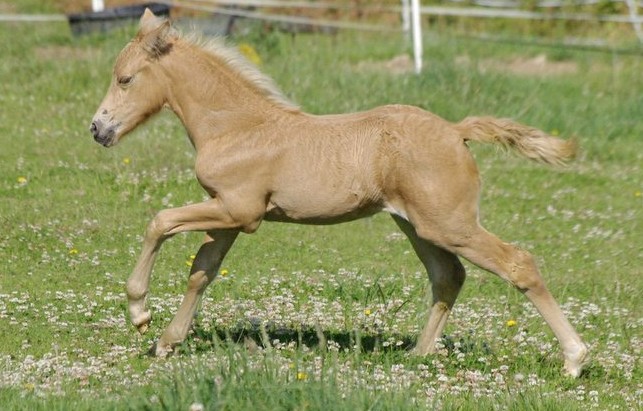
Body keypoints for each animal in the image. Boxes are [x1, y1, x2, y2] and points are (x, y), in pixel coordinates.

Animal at [89, 9, 588, 376]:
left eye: (126, 79)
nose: (97, 129)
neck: (237, 127)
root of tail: (455, 131)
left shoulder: (238, 211)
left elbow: (160, 223)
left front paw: (139, 313)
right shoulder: (227, 215)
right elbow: (201, 273)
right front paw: (167, 341)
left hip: (450, 224)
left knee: (518, 264)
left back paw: (575, 360)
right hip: (418, 225)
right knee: (448, 276)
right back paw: (418, 354)